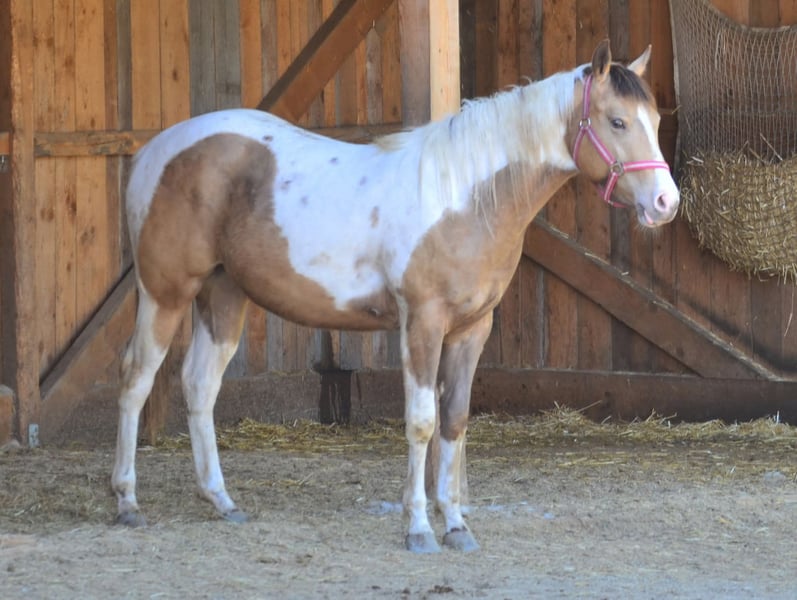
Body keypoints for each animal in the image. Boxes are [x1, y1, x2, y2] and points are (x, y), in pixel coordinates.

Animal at [111, 40, 679, 553]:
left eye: (652, 119)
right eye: (617, 122)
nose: (665, 203)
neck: (461, 199)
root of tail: (155, 152)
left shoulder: (471, 330)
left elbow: (454, 423)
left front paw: (457, 527)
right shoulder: (422, 324)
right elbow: (423, 423)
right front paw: (420, 530)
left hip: (224, 293)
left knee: (199, 385)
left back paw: (221, 500)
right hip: (165, 294)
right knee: (137, 380)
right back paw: (127, 502)